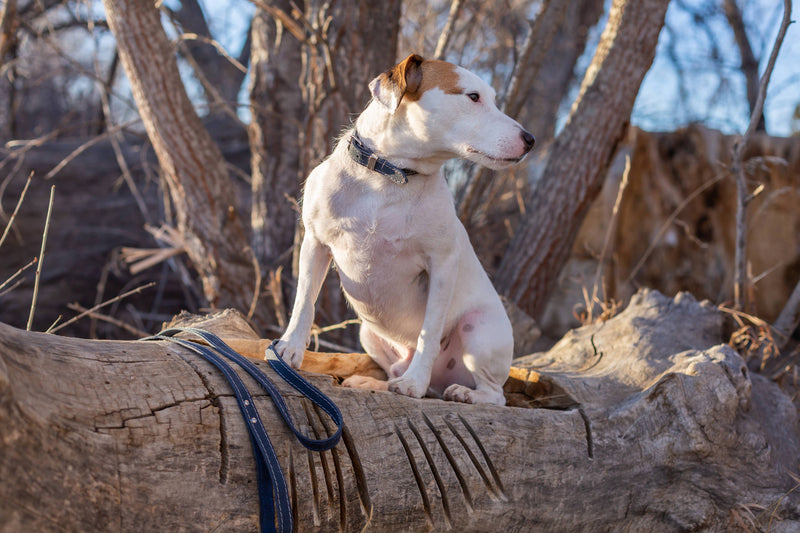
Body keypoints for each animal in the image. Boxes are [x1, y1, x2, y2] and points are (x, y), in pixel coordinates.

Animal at [272, 53, 536, 404]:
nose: (530, 140)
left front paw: (414, 383)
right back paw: (372, 382)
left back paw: (462, 393)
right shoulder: (315, 243)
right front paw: (289, 348)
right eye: (473, 97)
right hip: (368, 333)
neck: (389, 175)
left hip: (478, 330)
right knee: (393, 371)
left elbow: (429, 332)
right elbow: (304, 301)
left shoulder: (441, 265)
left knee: (495, 394)